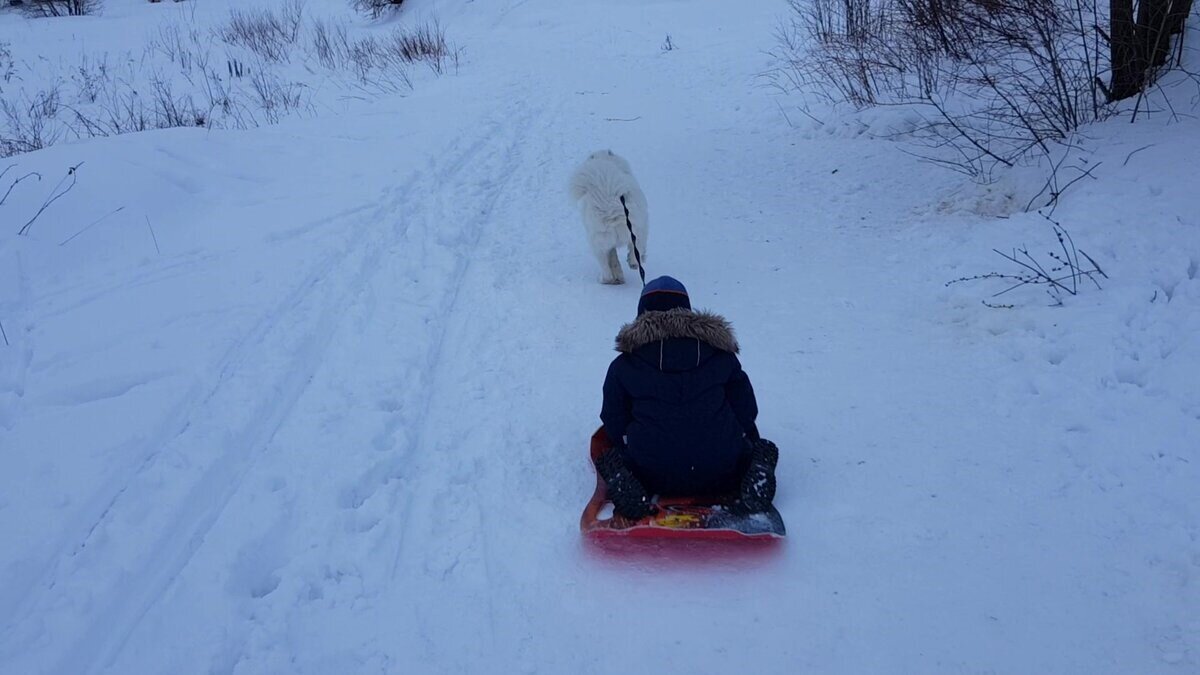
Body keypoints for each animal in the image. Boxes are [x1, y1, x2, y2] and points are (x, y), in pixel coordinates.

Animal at [568, 148, 652, 282]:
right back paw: (630, 265)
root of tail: (610, 206)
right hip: (633, 231)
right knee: (633, 251)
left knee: (607, 269)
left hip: (598, 243)